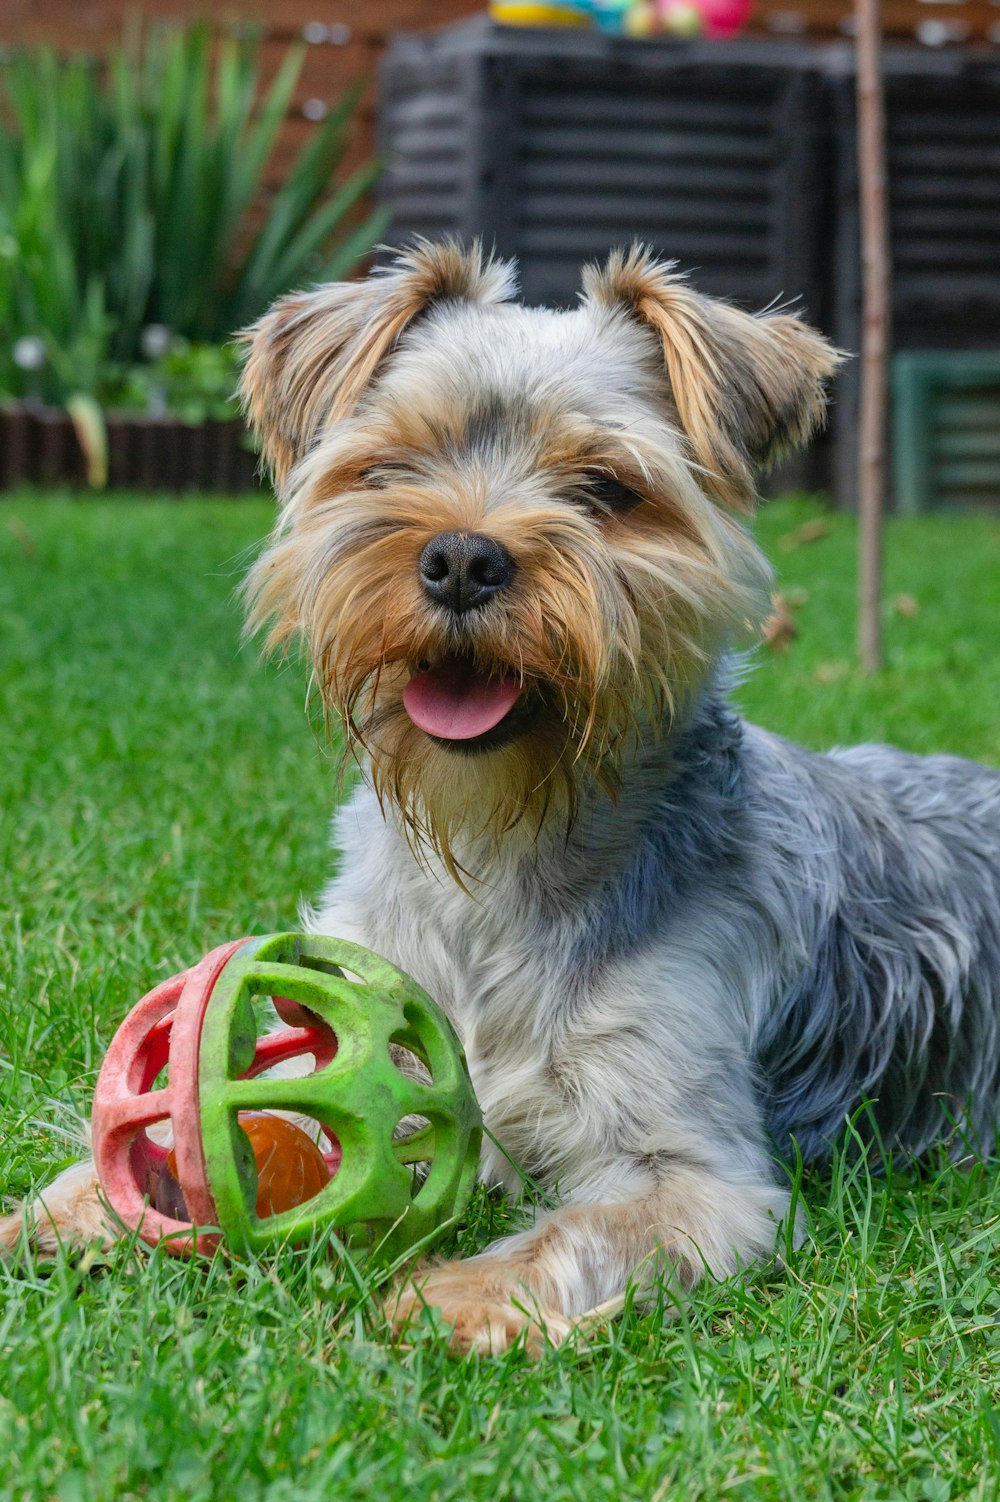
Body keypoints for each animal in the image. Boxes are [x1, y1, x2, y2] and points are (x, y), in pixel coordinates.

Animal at [5, 240, 996, 1357]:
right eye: (389, 467)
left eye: (607, 488)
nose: (462, 556)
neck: (494, 843)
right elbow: (253, 1107)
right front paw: (92, 1200)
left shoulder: (697, 1169)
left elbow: (583, 1229)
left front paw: (456, 1295)